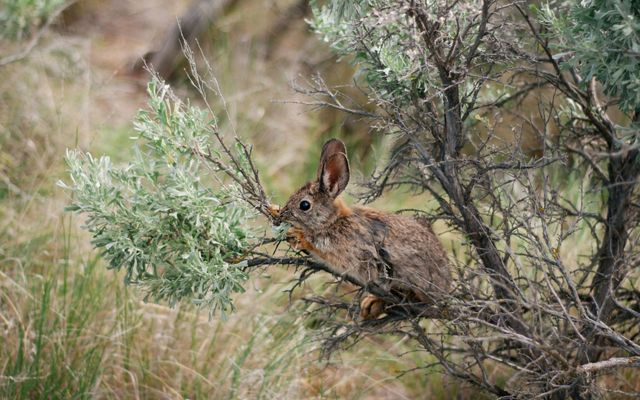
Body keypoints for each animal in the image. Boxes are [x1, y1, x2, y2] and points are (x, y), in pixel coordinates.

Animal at [274, 138, 451, 319]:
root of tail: (447, 285)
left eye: (304, 205)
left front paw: (297, 236)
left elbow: (319, 248)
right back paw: (371, 305)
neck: (333, 221)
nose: (282, 216)